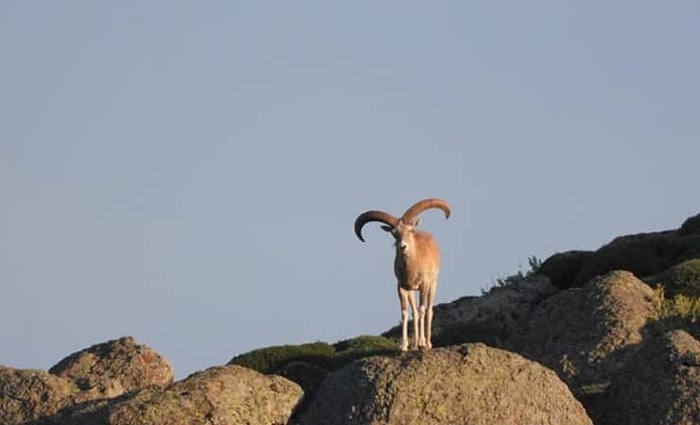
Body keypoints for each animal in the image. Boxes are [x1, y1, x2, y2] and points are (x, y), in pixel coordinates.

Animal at [352, 197, 452, 350]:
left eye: (410, 230)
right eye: (394, 233)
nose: (403, 246)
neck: (413, 267)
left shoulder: (424, 284)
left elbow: (422, 310)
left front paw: (422, 343)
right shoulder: (402, 287)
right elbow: (405, 313)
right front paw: (404, 346)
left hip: (433, 285)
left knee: (429, 310)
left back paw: (427, 343)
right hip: (412, 291)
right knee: (414, 312)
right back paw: (415, 345)